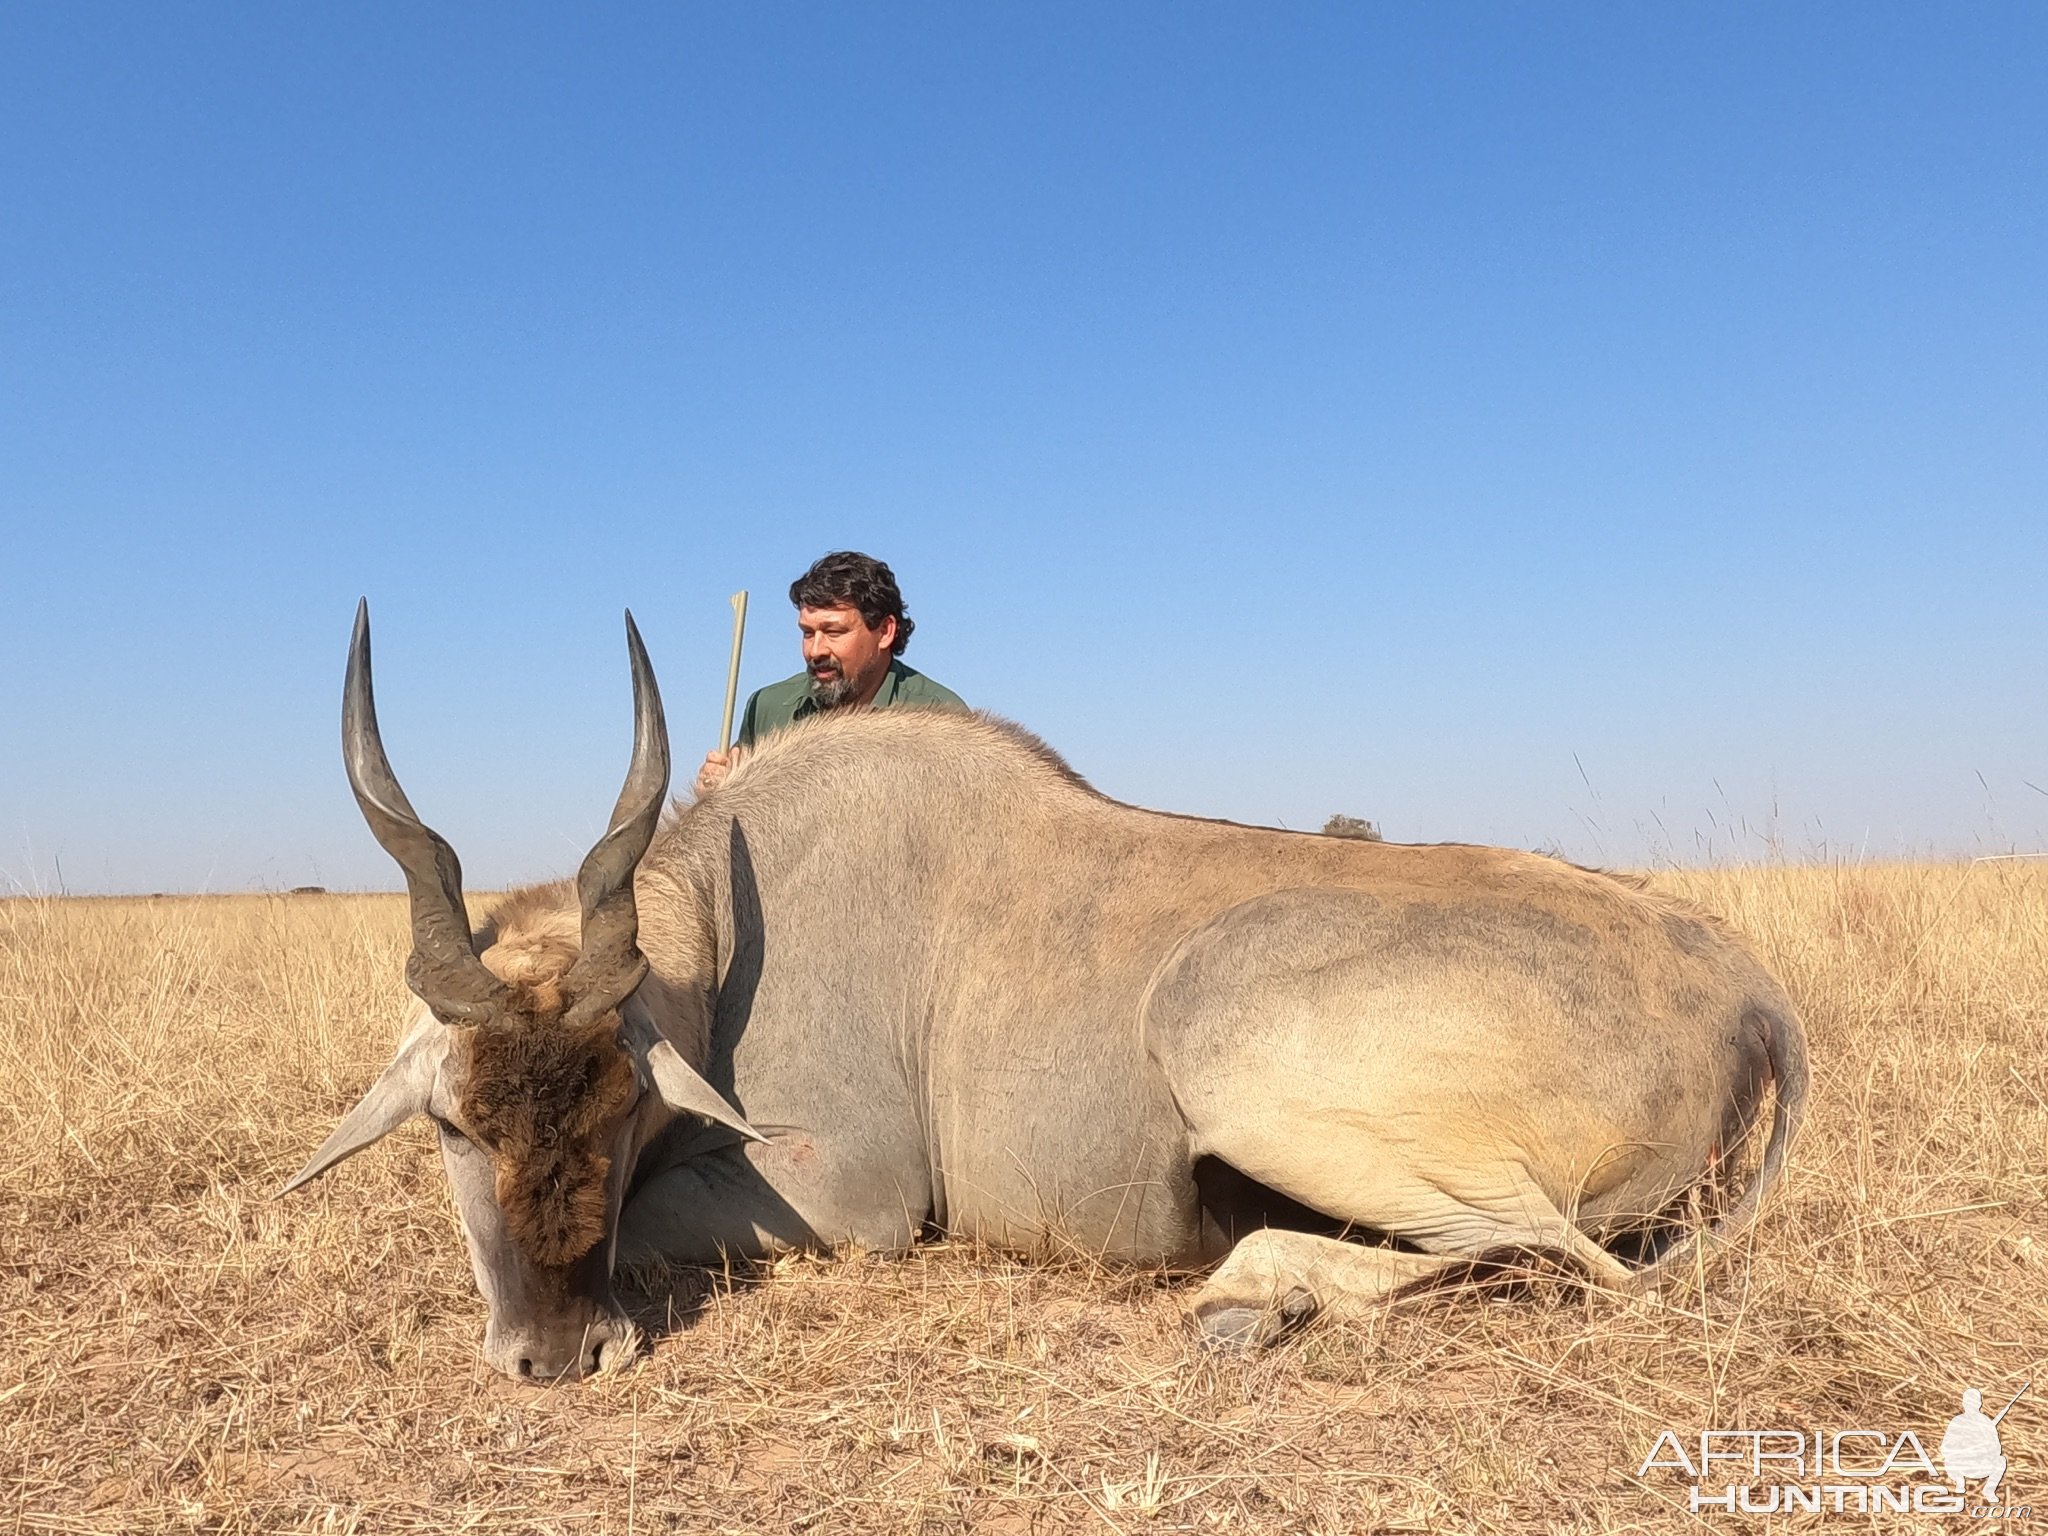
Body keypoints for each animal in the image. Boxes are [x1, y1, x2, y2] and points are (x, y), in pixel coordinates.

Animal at [284, 606, 1810, 1384]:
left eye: (611, 1121)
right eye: (457, 1129)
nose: (557, 1355)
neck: (724, 937)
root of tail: (1747, 988)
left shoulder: (848, 1194)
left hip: (1231, 1044)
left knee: (1553, 1259)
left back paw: (1248, 1296)